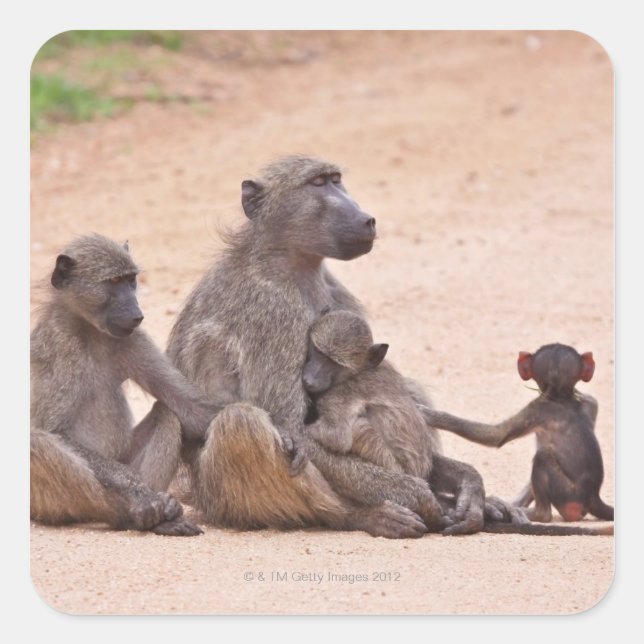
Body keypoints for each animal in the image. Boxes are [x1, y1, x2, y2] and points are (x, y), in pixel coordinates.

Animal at [31, 234, 219, 536]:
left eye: (131, 280)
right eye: (114, 282)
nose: (136, 314)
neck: (89, 329)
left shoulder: (134, 338)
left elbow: (190, 407)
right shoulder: (59, 345)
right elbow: (55, 431)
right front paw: (140, 494)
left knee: (168, 413)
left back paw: (162, 517)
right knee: (39, 442)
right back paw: (132, 512)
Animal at [131, 156, 509, 537]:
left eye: (336, 179)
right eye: (317, 183)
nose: (367, 218)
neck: (288, 261)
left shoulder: (337, 296)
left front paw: (468, 485)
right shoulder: (274, 310)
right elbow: (291, 427)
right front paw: (421, 495)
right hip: (216, 498)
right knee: (241, 423)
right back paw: (362, 515)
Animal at [420, 343, 614, 533]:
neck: (562, 396)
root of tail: (593, 496)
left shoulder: (536, 407)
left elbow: (497, 436)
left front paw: (431, 415)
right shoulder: (590, 401)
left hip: (568, 494)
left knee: (543, 456)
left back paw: (537, 514)